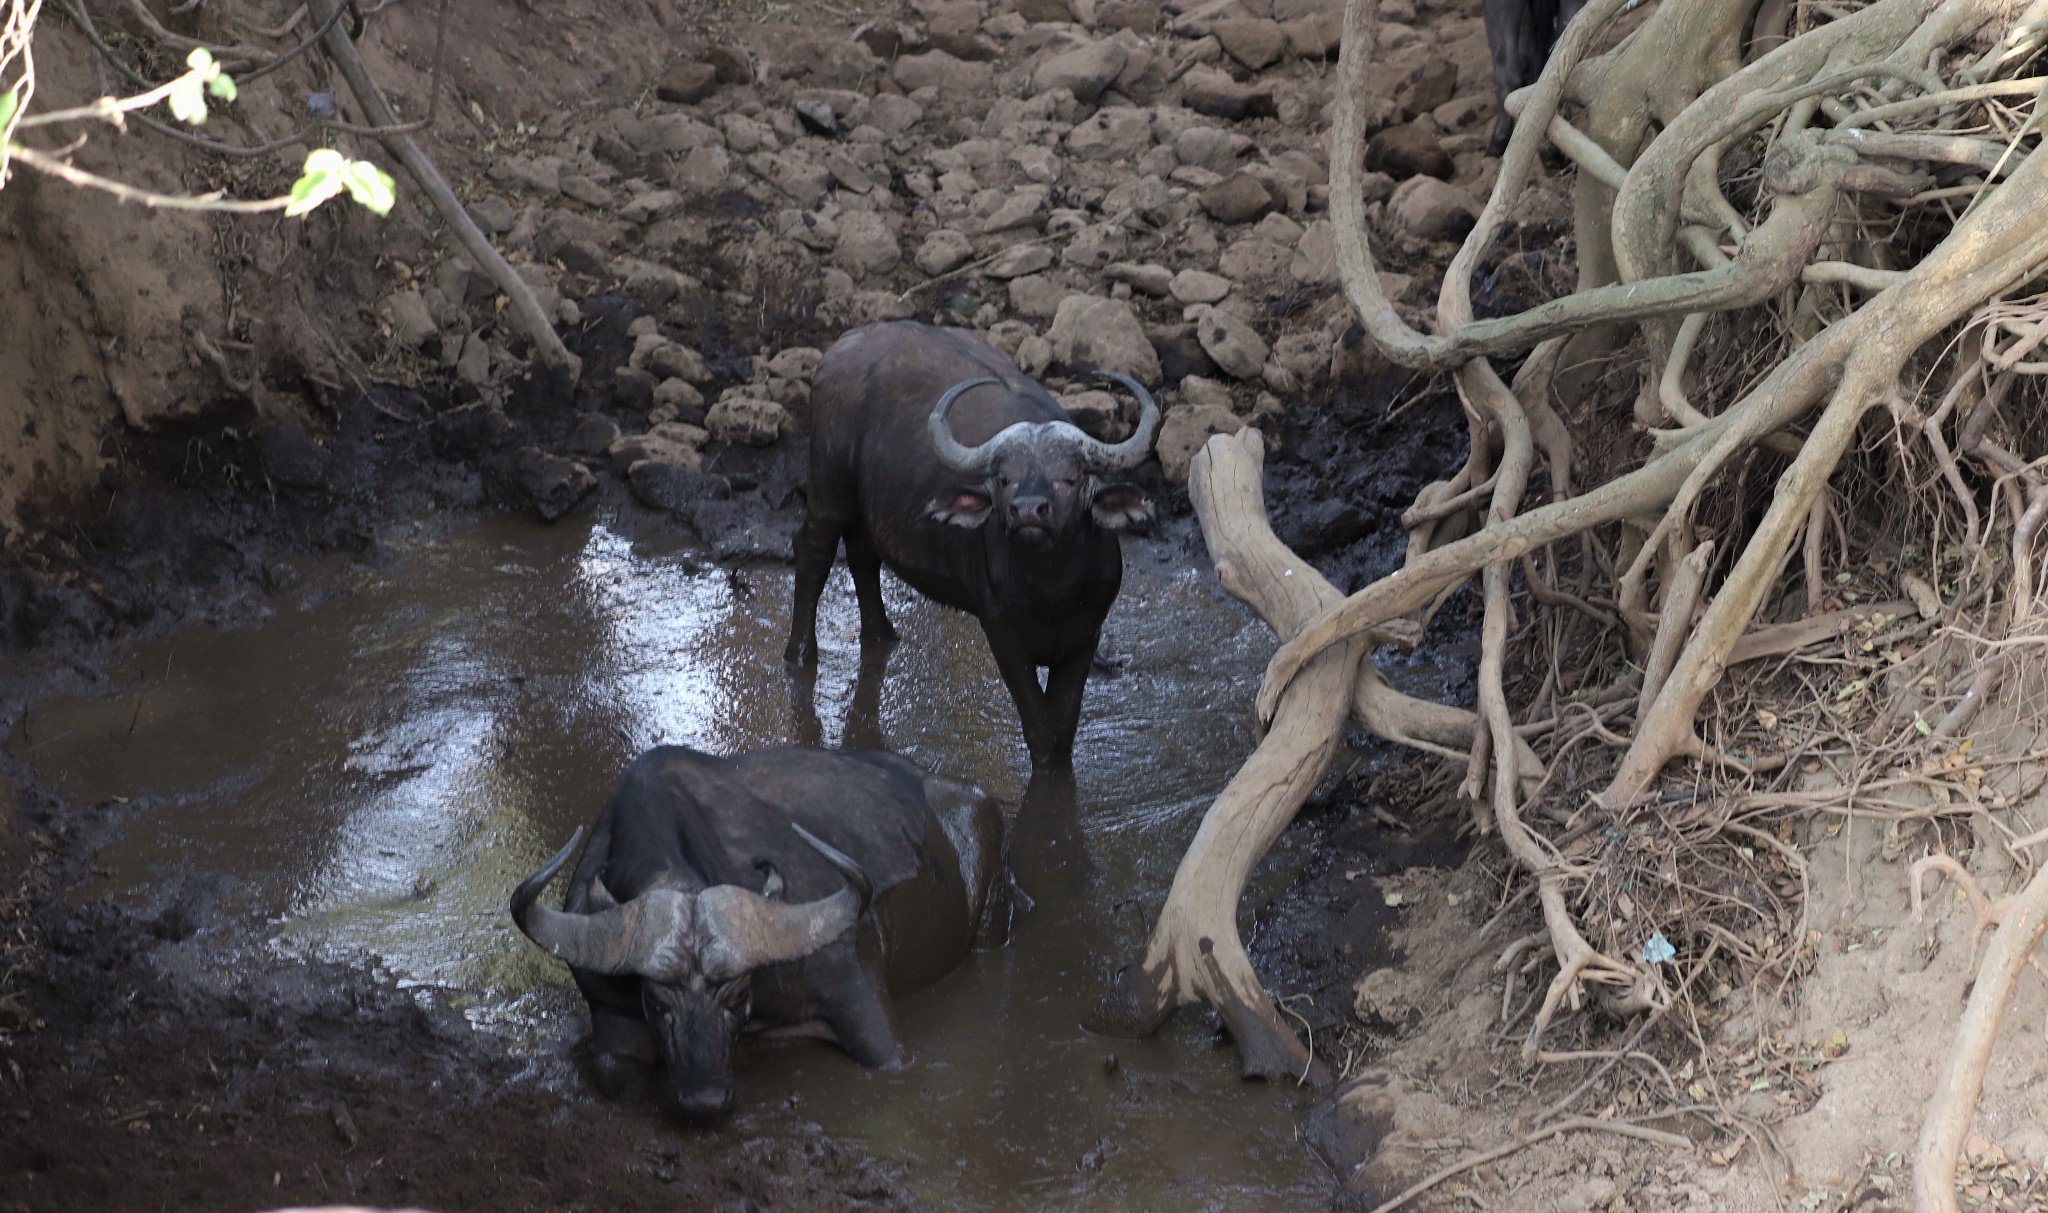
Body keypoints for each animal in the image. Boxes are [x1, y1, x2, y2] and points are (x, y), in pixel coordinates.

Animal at [512, 745, 1007, 1122]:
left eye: (736, 994)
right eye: (654, 1001)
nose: (704, 1101)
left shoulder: (859, 996)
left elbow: (885, 1055)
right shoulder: (609, 1010)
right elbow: (614, 1071)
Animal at [782, 321, 1163, 766]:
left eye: (1071, 478)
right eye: (1004, 478)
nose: (1028, 511)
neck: (1050, 592)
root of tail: (843, 345)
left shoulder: (1085, 638)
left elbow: (1063, 731)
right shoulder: (1002, 633)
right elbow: (1041, 730)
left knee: (863, 553)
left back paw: (883, 634)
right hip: (830, 489)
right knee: (813, 551)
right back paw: (800, 653)